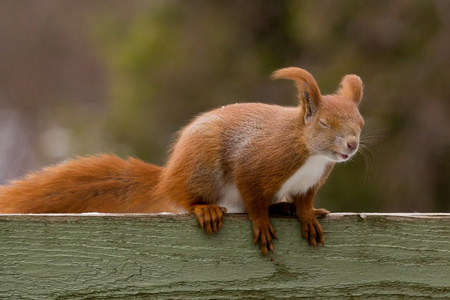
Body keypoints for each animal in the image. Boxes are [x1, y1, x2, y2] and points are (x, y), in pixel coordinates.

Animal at [0, 67, 362, 253]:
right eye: (325, 124)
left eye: (359, 122)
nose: (352, 145)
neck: (310, 154)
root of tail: (168, 175)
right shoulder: (256, 163)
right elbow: (252, 198)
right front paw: (262, 223)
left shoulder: (311, 181)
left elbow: (304, 200)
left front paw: (307, 215)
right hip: (202, 170)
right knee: (186, 198)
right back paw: (206, 209)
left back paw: (283, 207)